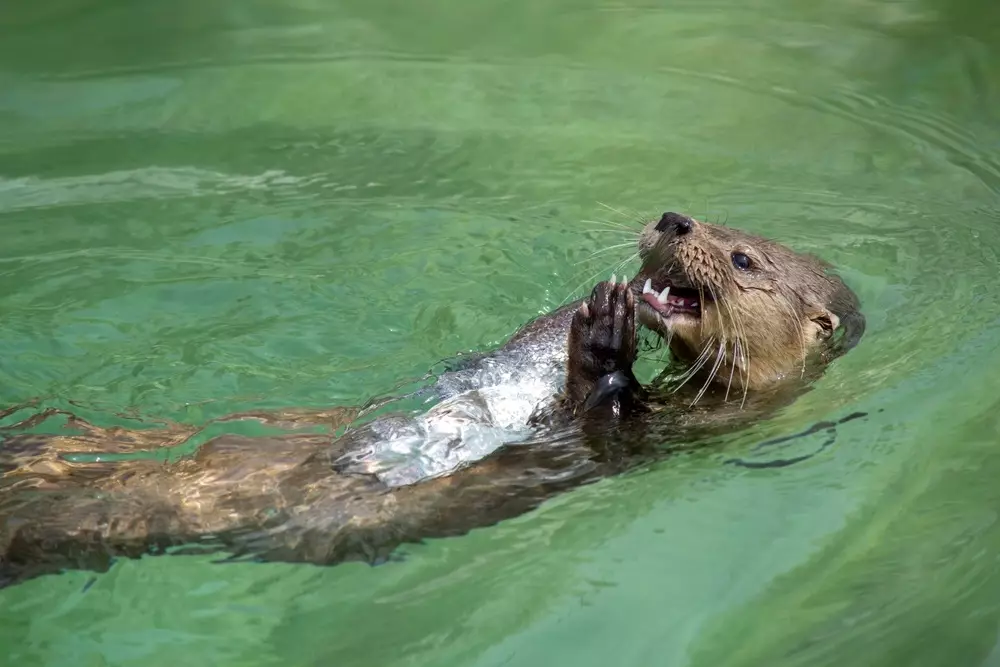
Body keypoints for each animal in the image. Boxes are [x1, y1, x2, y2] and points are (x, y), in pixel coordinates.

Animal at [0, 212, 864, 587]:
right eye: (711, 215)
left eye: (741, 257)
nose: (675, 218)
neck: (702, 410)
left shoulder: (642, 441)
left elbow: (599, 416)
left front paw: (601, 337)